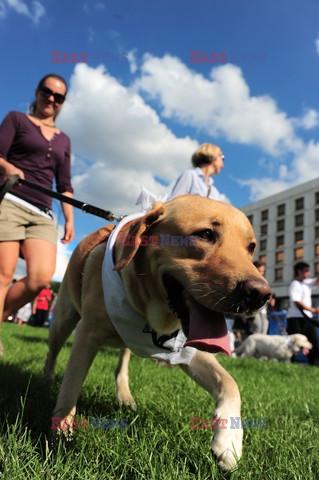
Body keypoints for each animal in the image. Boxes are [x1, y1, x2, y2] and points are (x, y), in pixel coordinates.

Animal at [43, 196, 272, 472]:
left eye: (251, 247)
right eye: (205, 234)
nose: (260, 295)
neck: (151, 313)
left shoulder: (186, 349)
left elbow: (229, 383)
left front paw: (229, 442)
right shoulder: (86, 335)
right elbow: (70, 388)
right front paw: (60, 435)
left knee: (121, 366)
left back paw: (125, 397)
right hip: (63, 319)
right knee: (53, 351)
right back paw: (47, 378)